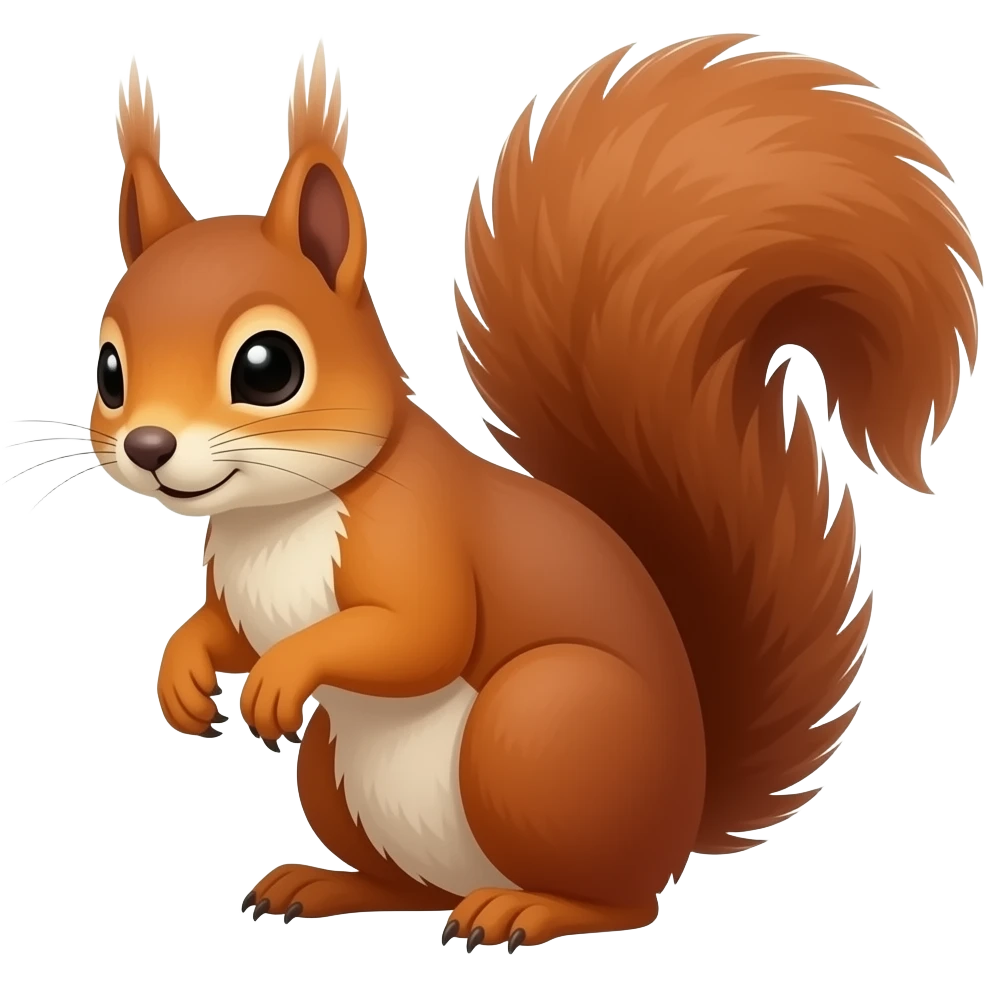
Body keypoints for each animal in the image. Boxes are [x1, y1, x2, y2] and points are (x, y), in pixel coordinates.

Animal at [87, 35, 980, 948]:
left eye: (268, 367)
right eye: (110, 370)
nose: (149, 448)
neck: (275, 517)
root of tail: (679, 819)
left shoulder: (417, 533)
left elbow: (422, 634)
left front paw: (281, 675)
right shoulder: (239, 588)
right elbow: (227, 629)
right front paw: (182, 672)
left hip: (539, 728)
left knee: (624, 901)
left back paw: (528, 909)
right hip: (337, 772)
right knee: (412, 888)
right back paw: (326, 884)